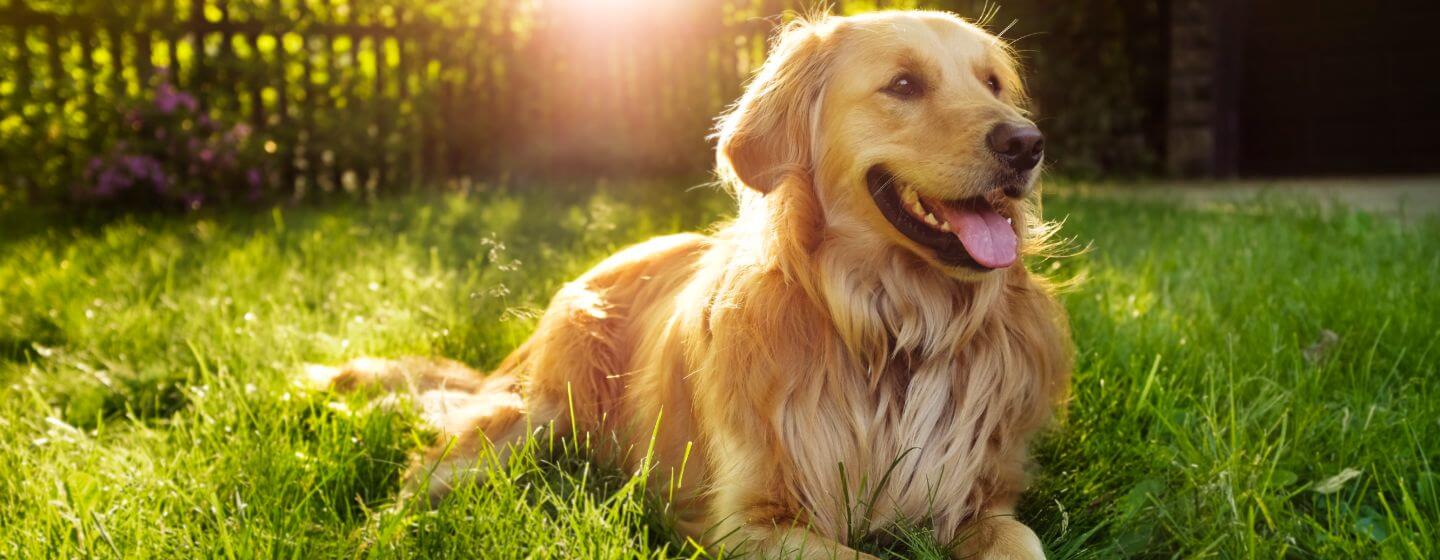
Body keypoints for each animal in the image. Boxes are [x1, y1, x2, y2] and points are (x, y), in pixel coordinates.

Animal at [312, 10, 1071, 555]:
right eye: (905, 85)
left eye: (993, 84)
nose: (1027, 144)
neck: (893, 331)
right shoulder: (748, 520)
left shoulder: (985, 497)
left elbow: (1021, 539)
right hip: (536, 415)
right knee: (423, 475)